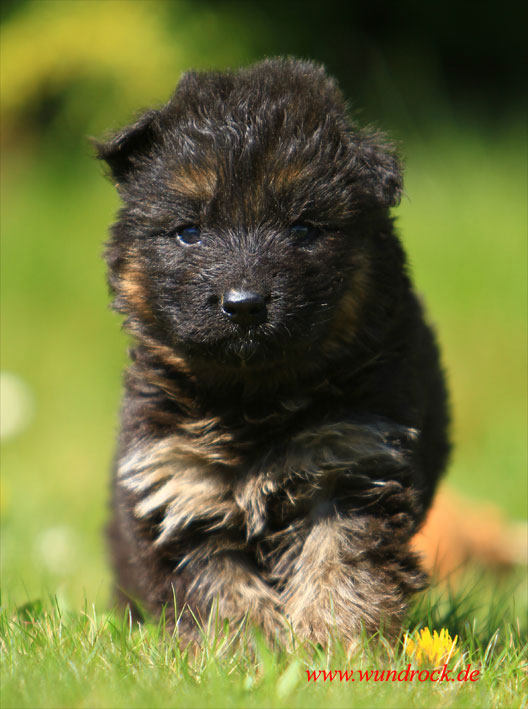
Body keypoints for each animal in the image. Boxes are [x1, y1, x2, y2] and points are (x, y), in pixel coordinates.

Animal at [96, 57, 450, 646]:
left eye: (303, 229)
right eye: (189, 232)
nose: (243, 304)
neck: (253, 399)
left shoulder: (352, 458)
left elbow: (339, 562)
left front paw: (332, 641)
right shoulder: (180, 482)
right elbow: (218, 585)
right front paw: (245, 650)